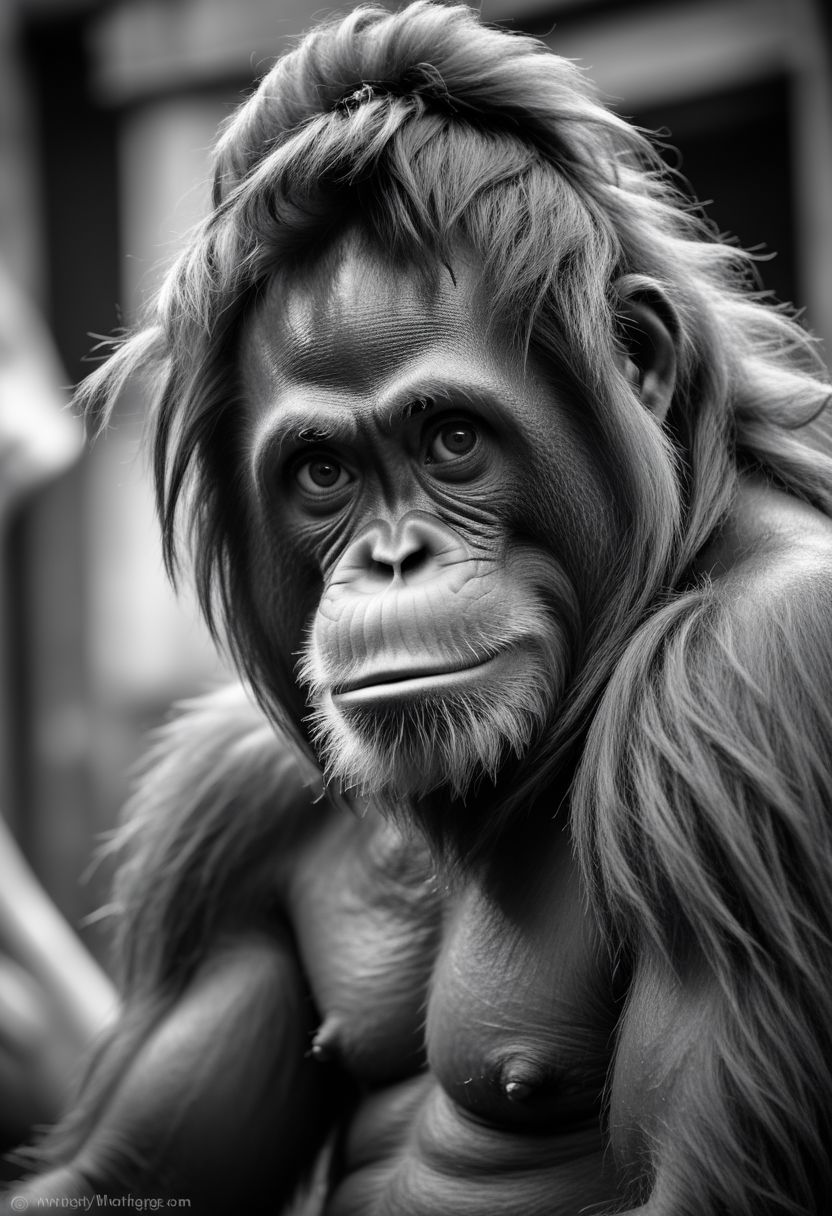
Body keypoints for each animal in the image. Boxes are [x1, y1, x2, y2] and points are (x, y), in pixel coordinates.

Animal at [6, 4, 832, 1214]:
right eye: (323, 473)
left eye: (451, 439)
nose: (395, 558)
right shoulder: (225, 813)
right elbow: (123, 1163)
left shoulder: (758, 679)